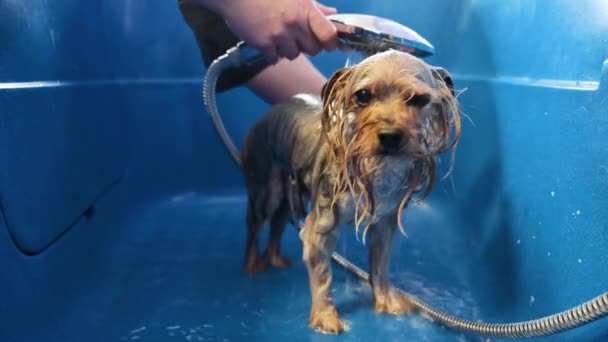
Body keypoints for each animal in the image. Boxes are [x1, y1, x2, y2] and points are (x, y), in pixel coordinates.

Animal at [240, 50, 458, 334]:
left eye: (419, 99)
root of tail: (266, 115)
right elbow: (323, 276)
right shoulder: (321, 227)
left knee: (278, 222)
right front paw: (325, 317)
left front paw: (386, 300)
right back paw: (253, 264)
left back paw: (275, 258)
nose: (390, 135)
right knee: (256, 226)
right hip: (267, 188)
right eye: (363, 95)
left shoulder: (383, 226)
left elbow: (380, 266)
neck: (378, 170)